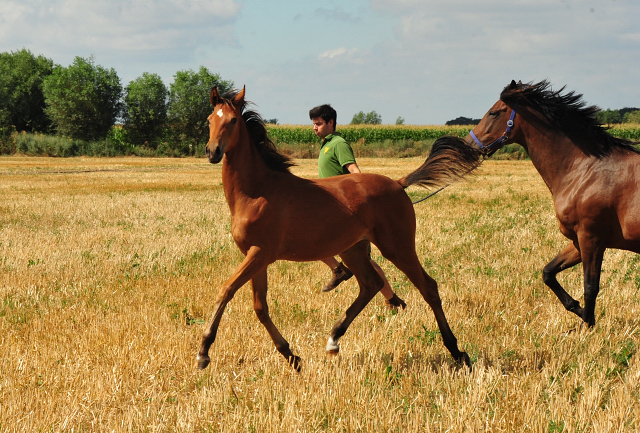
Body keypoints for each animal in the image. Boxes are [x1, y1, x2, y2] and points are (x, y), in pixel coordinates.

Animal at [198, 86, 482, 370]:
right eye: (210, 120)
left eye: (233, 120)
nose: (212, 151)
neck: (257, 192)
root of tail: (398, 184)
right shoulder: (255, 256)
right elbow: (260, 307)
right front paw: (291, 355)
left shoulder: (260, 253)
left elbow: (226, 290)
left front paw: (204, 352)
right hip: (353, 250)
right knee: (371, 284)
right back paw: (333, 340)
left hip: (397, 247)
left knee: (428, 287)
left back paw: (457, 351)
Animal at [464, 79, 640, 326]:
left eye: (494, 112)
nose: (468, 145)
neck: (585, 169)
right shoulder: (578, 240)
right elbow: (548, 273)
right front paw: (577, 309)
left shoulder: (591, 239)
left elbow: (590, 287)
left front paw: (586, 326)